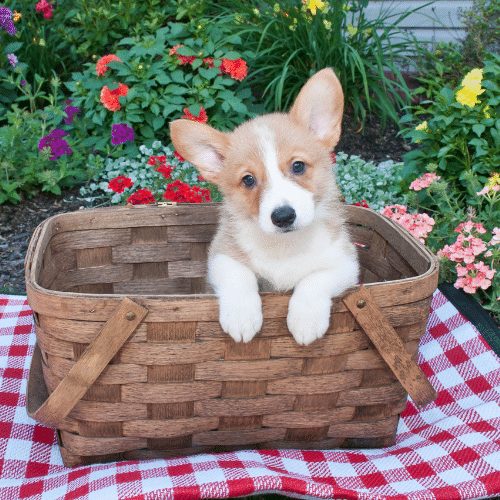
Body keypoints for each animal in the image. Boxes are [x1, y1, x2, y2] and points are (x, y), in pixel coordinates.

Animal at [171, 68, 360, 346]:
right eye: (248, 180)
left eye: (298, 166)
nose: (283, 216)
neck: (284, 247)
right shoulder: (221, 256)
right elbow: (240, 275)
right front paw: (241, 318)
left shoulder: (345, 263)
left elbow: (315, 279)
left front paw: (306, 321)